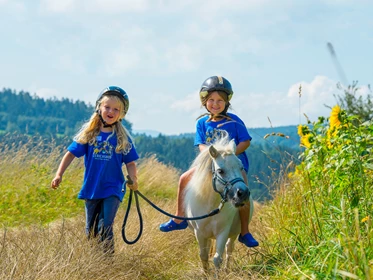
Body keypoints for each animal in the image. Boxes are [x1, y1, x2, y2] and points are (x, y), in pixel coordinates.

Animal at [183, 135, 253, 272]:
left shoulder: (223, 232)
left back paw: (226, 269)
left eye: (241, 167)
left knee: (229, 249)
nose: (243, 194)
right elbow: (203, 256)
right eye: (220, 171)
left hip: (233, 234)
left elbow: (217, 259)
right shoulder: (199, 233)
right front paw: (206, 273)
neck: (211, 207)